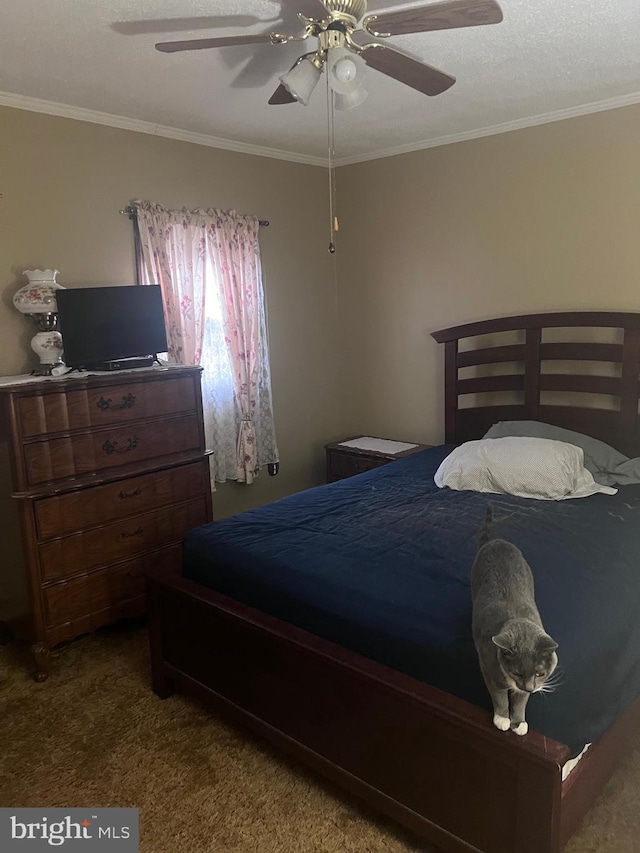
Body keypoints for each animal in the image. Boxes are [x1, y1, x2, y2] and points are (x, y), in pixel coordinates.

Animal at [470, 506, 556, 732]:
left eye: (540, 673)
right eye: (517, 672)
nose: (530, 687)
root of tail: (495, 540)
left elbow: (520, 701)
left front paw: (519, 723)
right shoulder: (488, 670)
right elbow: (499, 696)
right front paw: (502, 719)